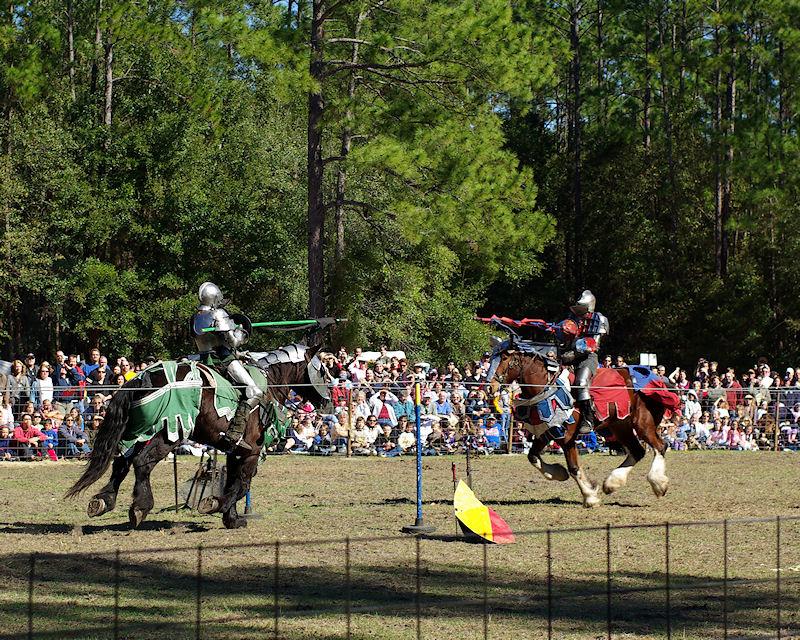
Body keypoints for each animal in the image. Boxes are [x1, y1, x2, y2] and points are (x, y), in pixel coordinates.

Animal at [65, 344, 326, 528]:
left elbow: (233, 481)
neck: (270, 384)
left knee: (122, 461)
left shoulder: (235, 451)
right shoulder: (251, 452)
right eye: (322, 369)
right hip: (169, 433)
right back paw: (140, 506)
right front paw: (216, 505)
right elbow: (241, 485)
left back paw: (103, 501)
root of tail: (140, 378)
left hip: (141, 430)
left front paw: (232, 518)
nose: (326, 400)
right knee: (142, 462)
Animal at [490, 342, 672, 508]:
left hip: (642, 423)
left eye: (504, 359)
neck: (546, 387)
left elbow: (574, 468)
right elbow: (533, 456)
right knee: (637, 451)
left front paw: (590, 497)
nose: (492, 385)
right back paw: (612, 483)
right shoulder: (548, 432)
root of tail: (658, 381)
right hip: (621, 425)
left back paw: (658, 484)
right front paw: (559, 474)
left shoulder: (567, 438)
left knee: (660, 446)